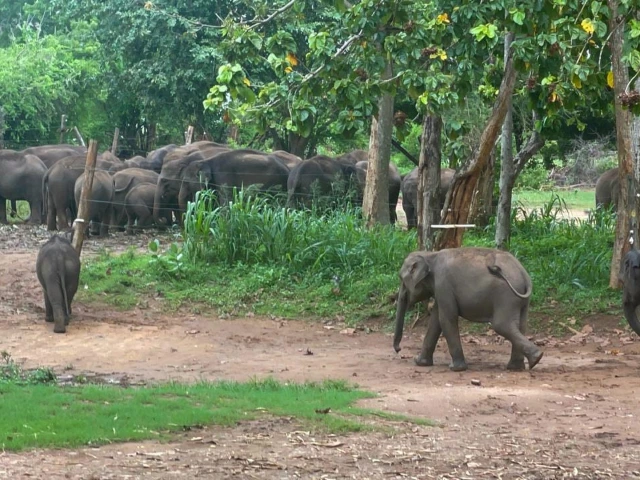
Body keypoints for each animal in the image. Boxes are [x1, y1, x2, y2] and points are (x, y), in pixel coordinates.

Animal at [393, 247, 543, 372]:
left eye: (402, 279)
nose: (399, 349)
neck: (430, 254)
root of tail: (523, 273)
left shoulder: (443, 284)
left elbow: (446, 319)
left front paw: (456, 368)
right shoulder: (441, 290)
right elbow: (435, 321)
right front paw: (420, 362)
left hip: (506, 296)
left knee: (502, 325)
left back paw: (536, 358)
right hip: (520, 300)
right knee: (520, 325)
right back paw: (519, 366)